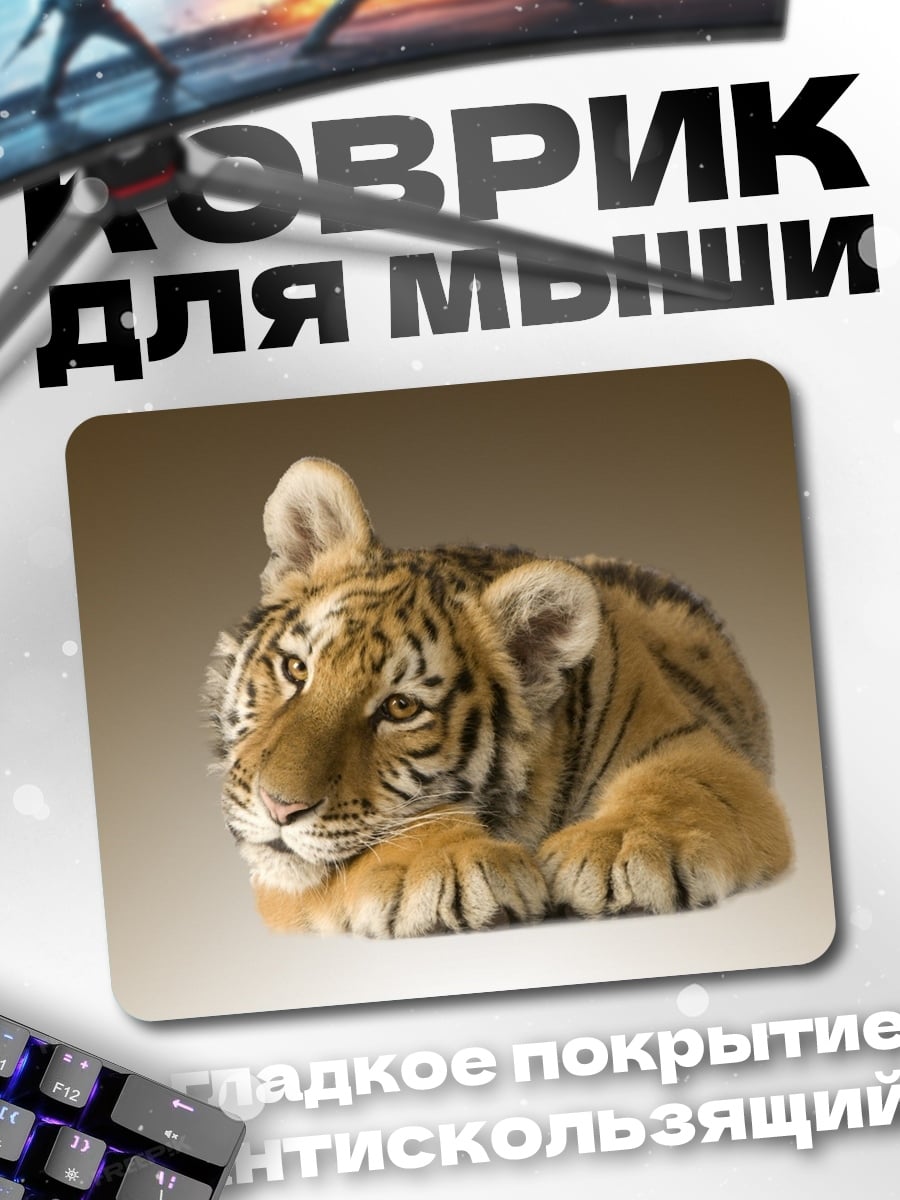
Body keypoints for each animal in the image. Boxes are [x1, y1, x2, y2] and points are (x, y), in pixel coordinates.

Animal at [206, 457, 793, 938]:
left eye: (401, 707)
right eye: (296, 668)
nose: (279, 808)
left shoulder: (696, 745)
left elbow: (681, 785)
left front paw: (621, 848)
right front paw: (453, 863)